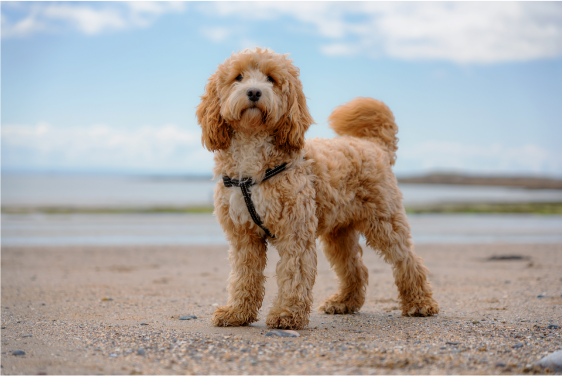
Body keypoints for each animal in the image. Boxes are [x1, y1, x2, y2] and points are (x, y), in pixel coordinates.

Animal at [198, 46, 440, 328]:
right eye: (238, 77)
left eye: (271, 78)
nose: (254, 92)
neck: (253, 151)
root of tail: (374, 145)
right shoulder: (243, 237)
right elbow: (244, 276)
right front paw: (237, 312)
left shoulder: (295, 231)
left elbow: (294, 273)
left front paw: (286, 314)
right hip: (339, 233)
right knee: (355, 267)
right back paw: (344, 302)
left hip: (385, 222)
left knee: (408, 261)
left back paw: (420, 303)